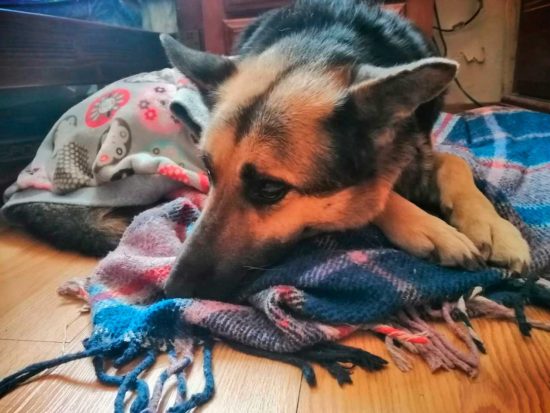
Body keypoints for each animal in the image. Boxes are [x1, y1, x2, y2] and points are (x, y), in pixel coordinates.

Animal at [160, 0, 531, 299]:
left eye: (269, 189)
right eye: (210, 171)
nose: (171, 290)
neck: (320, 43)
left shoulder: (422, 143)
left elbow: (455, 162)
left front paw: (492, 226)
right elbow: (374, 195)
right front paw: (430, 227)